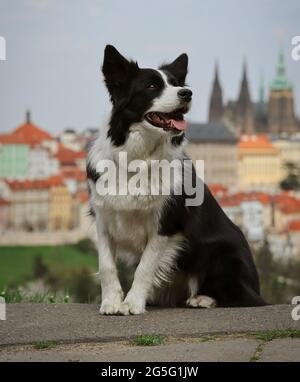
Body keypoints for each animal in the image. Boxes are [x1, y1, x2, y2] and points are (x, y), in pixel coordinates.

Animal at [86, 44, 264, 314]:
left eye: (176, 83)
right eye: (152, 86)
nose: (187, 93)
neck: (137, 158)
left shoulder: (165, 225)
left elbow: (145, 268)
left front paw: (133, 304)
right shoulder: (103, 219)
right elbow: (106, 266)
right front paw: (111, 302)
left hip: (223, 254)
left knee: (243, 297)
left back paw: (203, 299)